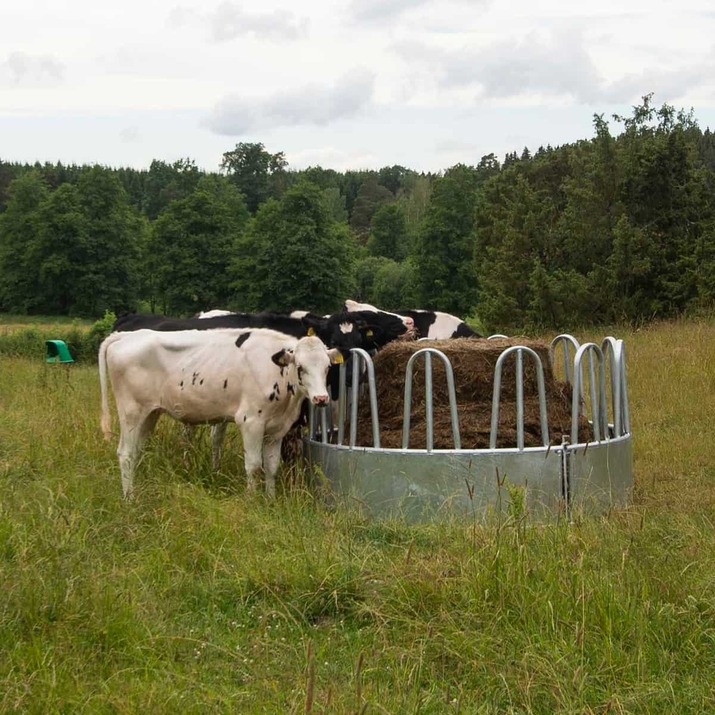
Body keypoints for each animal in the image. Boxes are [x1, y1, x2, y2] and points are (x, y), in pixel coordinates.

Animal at [98, 326, 342, 498]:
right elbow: (254, 466)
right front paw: (252, 500)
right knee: (126, 453)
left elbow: (272, 467)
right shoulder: (250, 422)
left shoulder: (277, 429)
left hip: (149, 413)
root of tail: (126, 335)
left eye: (328, 367)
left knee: (136, 451)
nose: (321, 398)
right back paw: (129, 498)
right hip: (130, 412)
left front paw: (271, 499)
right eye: (300, 367)